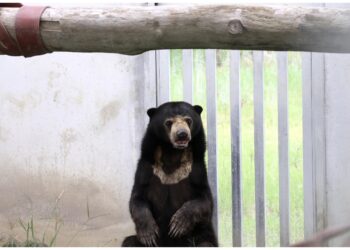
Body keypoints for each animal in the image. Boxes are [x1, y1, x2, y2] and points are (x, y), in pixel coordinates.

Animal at [121, 101, 217, 246]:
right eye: (168, 122)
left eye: (188, 120)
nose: (182, 134)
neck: (172, 152)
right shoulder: (146, 168)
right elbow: (137, 199)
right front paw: (148, 234)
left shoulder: (197, 170)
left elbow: (205, 201)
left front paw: (178, 224)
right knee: (129, 242)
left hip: (201, 237)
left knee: (205, 244)